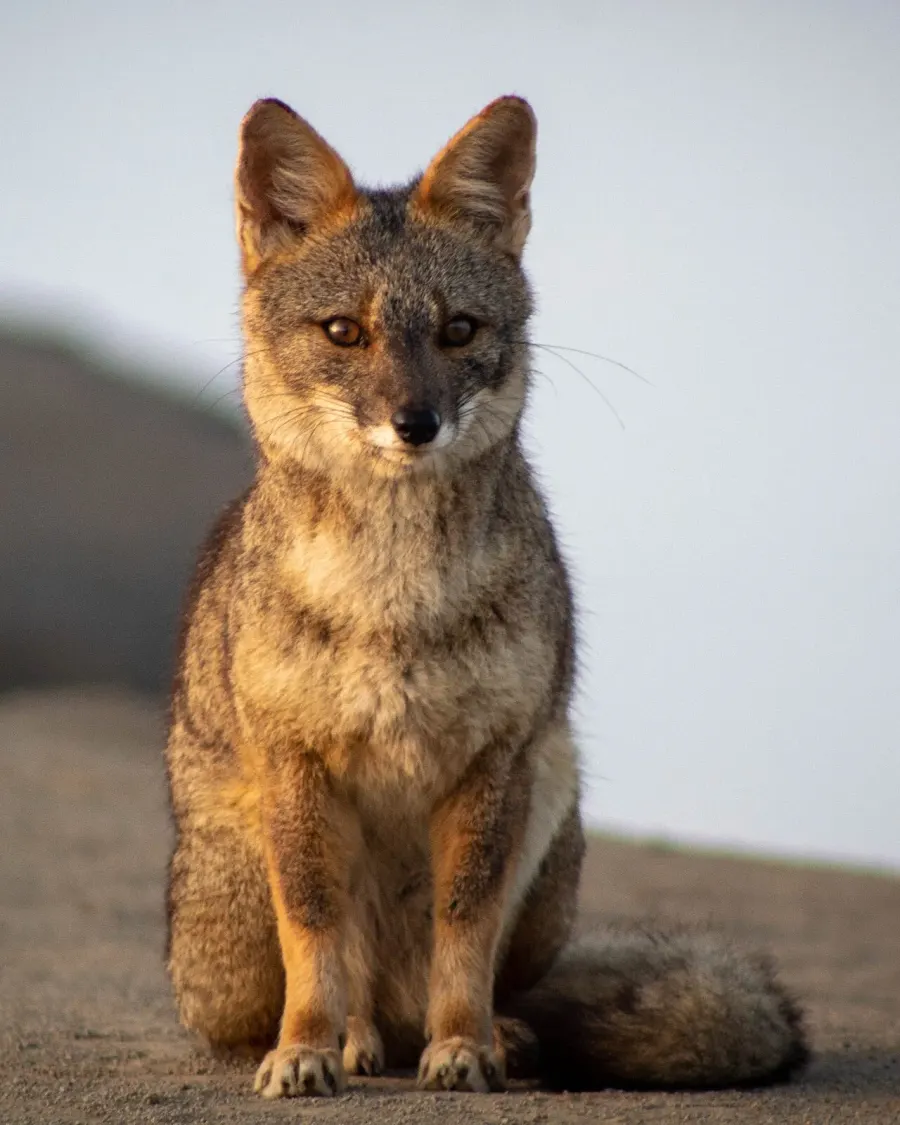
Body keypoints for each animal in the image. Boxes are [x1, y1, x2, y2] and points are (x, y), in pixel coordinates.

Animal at [164, 94, 808, 1099]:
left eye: (458, 331)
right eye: (344, 332)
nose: (415, 423)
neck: (392, 595)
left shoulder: (494, 759)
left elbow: (464, 928)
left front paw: (463, 1044)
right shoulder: (296, 762)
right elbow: (316, 931)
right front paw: (306, 1046)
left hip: (553, 783)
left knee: (476, 981)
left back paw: (488, 1032)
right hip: (233, 902)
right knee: (340, 989)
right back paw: (353, 1037)